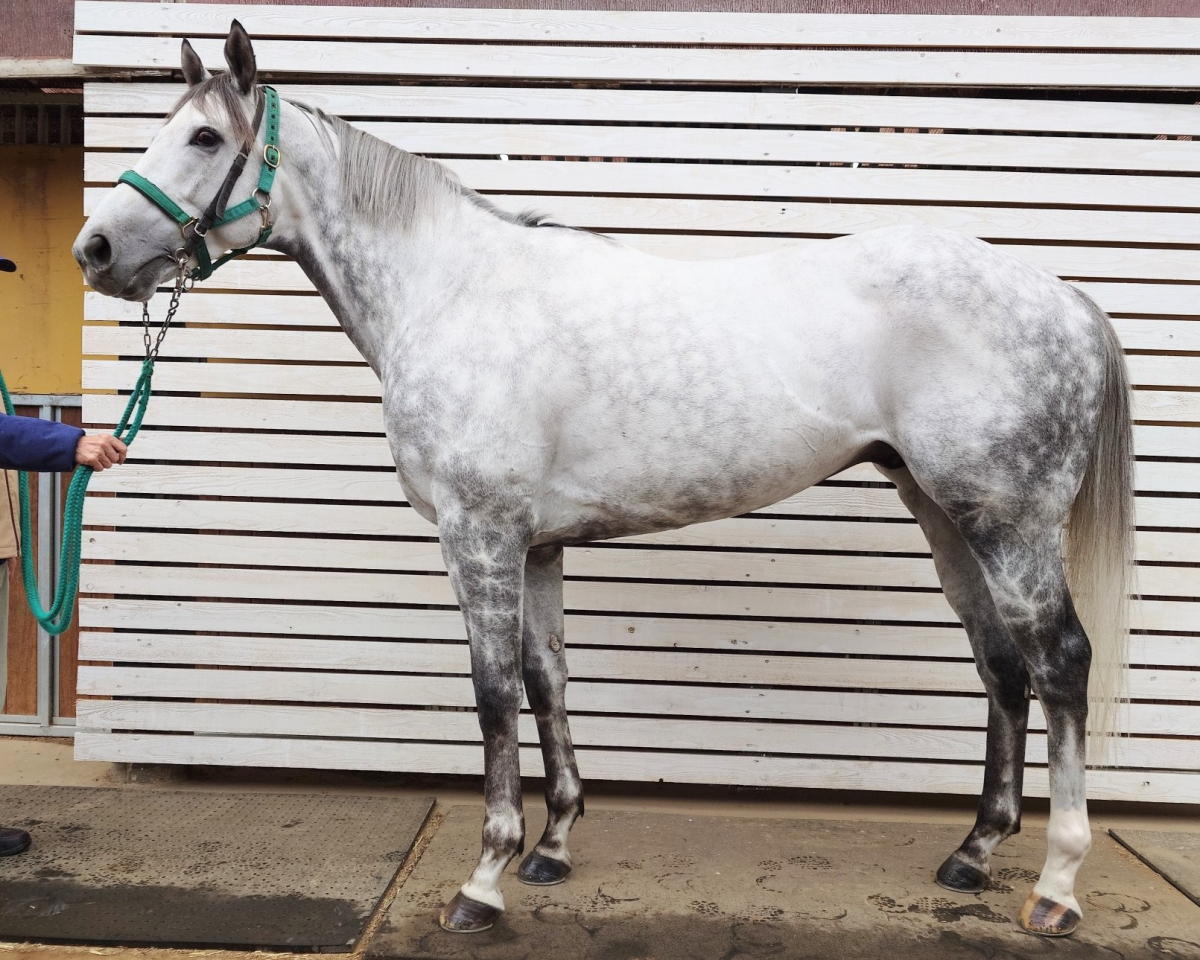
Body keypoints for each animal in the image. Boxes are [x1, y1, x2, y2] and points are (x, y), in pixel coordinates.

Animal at [75, 22, 1133, 939]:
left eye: (205, 135)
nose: (97, 251)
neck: (451, 295)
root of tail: (1063, 296)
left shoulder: (480, 536)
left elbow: (493, 691)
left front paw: (484, 879)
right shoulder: (537, 544)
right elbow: (549, 679)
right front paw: (551, 847)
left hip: (1008, 522)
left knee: (1059, 662)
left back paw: (1055, 887)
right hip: (946, 514)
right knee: (1001, 666)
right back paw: (973, 853)